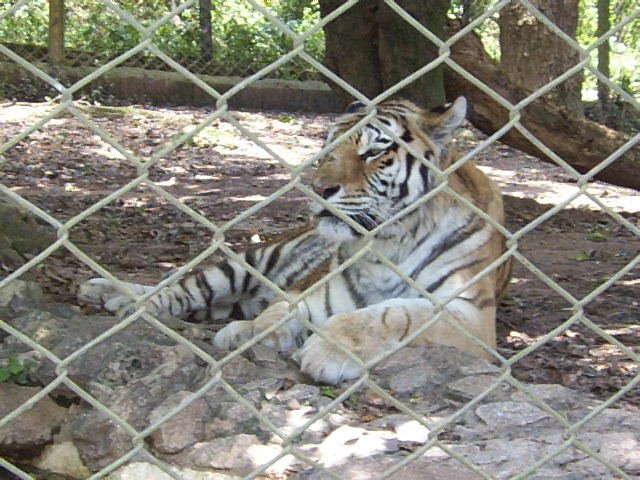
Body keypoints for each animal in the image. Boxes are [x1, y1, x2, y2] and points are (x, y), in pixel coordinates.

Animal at [79, 98, 510, 386]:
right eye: (328, 149)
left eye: (374, 151)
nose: (319, 189)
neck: (387, 244)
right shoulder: (315, 291)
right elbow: (282, 312)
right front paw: (250, 334)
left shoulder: (469, 315)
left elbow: (392, 314)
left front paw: (327, 350)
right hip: (246, 262)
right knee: (179, 289)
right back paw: (115, 296)